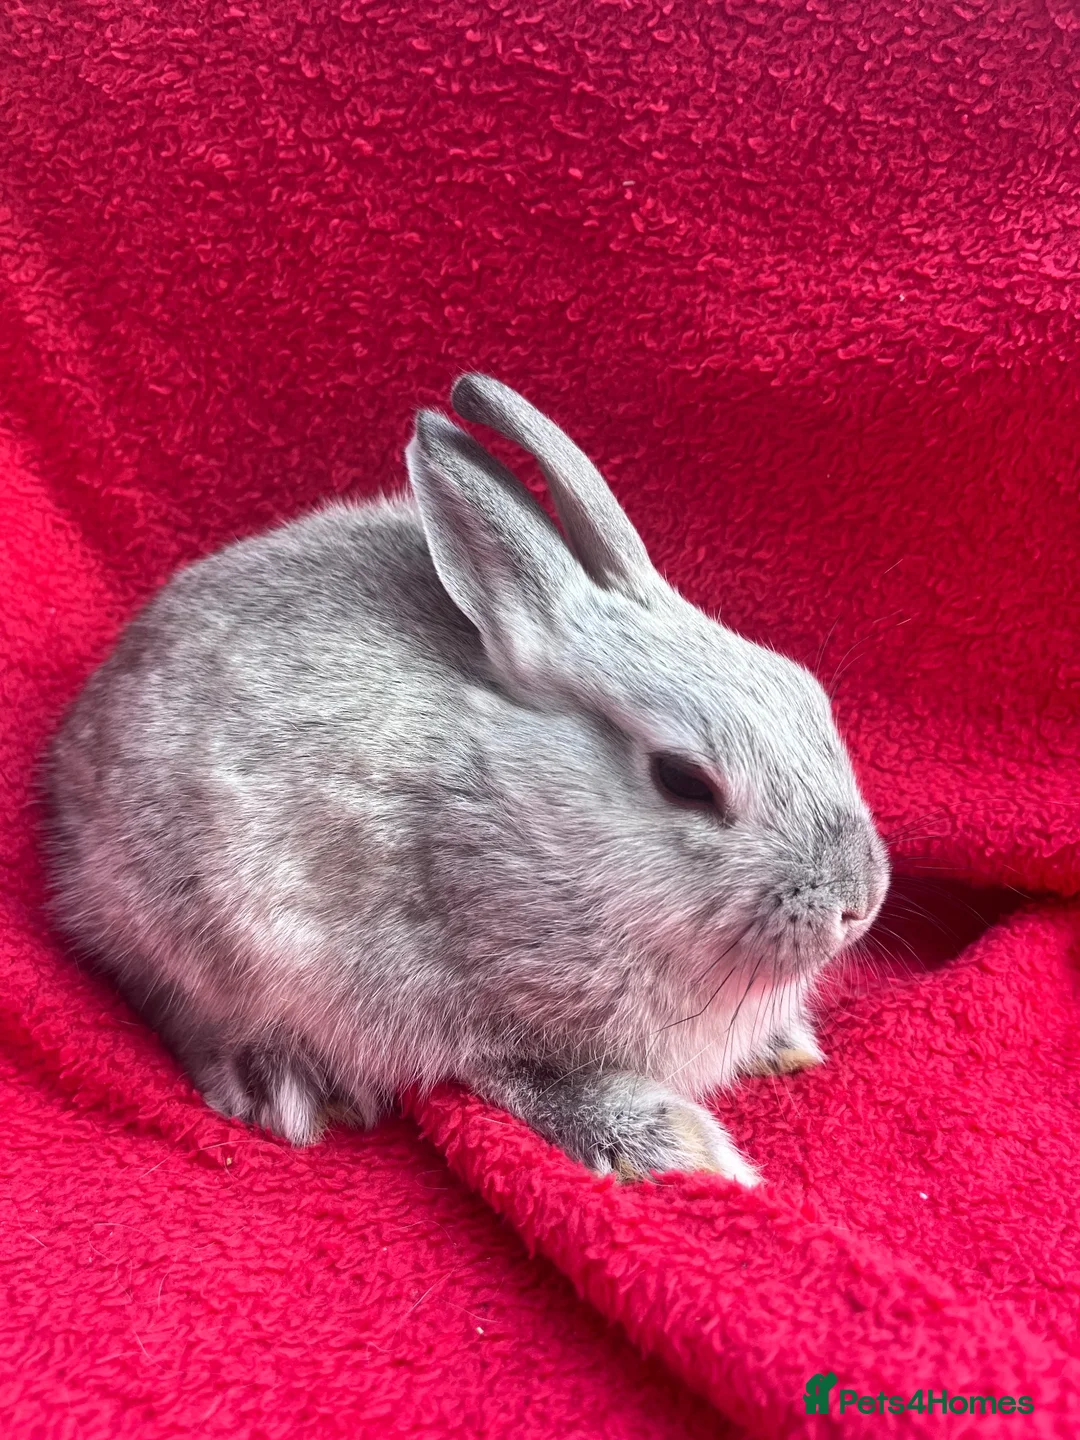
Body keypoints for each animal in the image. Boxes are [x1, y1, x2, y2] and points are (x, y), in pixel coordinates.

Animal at [44, 374, 889, 1185]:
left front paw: (784, 1046)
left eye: (808, 692)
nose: (858, 905)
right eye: (684, 780)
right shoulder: (468, 1010)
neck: (530, 817)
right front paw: (684, 1150)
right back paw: (283, 1086)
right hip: (189, 926)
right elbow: (535, 1079)